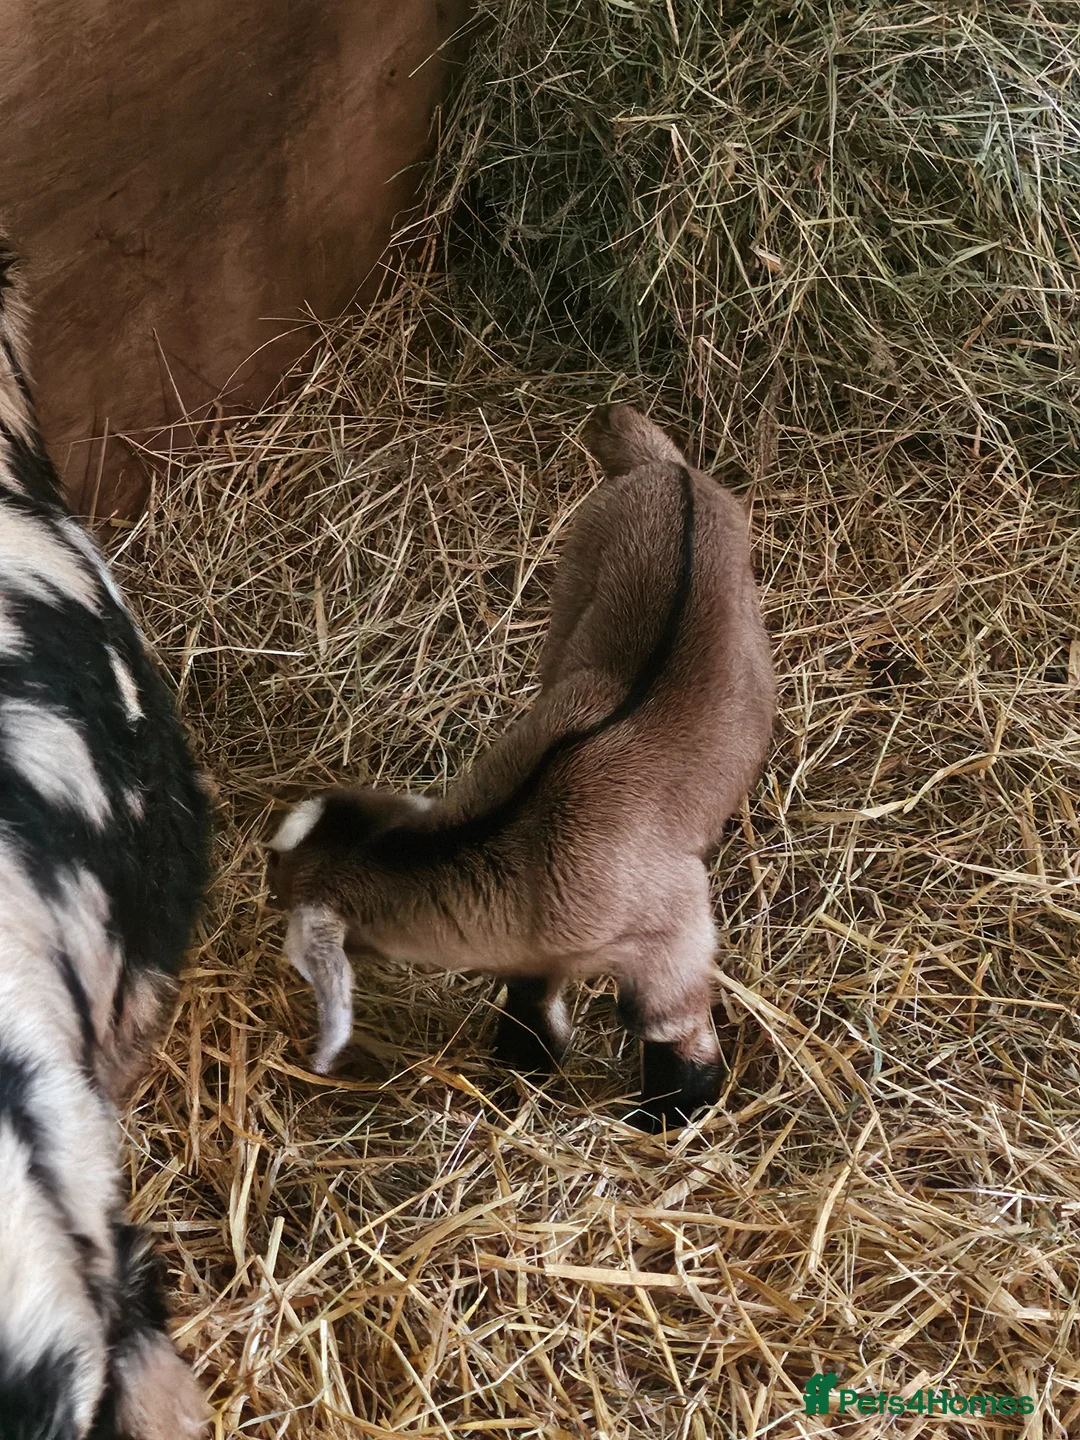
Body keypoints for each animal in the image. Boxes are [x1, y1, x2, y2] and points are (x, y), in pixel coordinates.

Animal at [267, 404, 774, 1131]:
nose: (266, 892)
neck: (515, 837)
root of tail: (667, 472)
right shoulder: (540, 941)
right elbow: (532, 986)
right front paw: (527, 1056)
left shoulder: (674, 925)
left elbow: (657, 1015)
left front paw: (674, 1109)